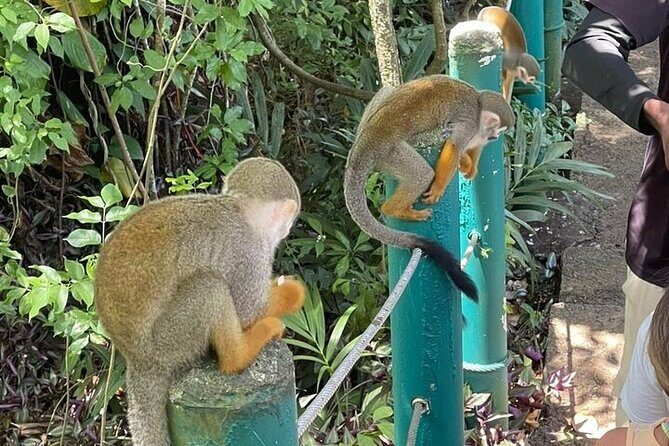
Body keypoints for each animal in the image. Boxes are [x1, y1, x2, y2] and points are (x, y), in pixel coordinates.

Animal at [94, 157, 306, 446]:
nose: (286, 230)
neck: (237, 209)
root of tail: (137, 358)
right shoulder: (249, 249)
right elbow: (247, 310)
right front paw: (293, 294)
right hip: (168, 342)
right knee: (209, 286)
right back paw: (238, 355)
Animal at [344, 75, 514, 301]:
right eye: (498, 130)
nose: (495, 138)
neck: (478, 106)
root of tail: (365, 143)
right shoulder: (469, 124)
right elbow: (454, 146)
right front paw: (439, 187)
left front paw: (468, 166)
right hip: (389, 153)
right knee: (422, 174)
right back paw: (395, 209)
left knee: (387, 90)